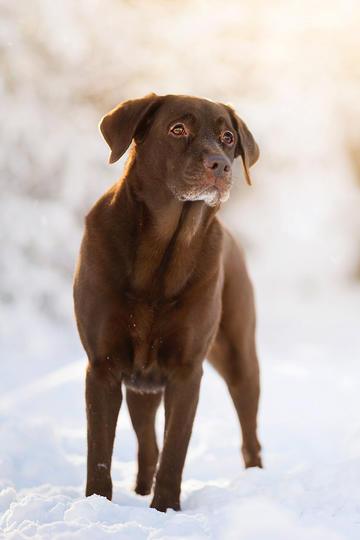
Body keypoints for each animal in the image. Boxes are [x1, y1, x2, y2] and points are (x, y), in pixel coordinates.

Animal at [73, 93, 262, 510]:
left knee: (250, 434)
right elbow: (99, 452)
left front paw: (166, 509)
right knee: (148, 445)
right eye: (178, 129)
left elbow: (176, 448)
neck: (162, 251)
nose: (221, 164)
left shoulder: (186, 370)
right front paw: (98, 505)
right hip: (140, 386)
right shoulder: (103, 366)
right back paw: (141, 489)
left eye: (228, 137)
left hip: (239, 356)